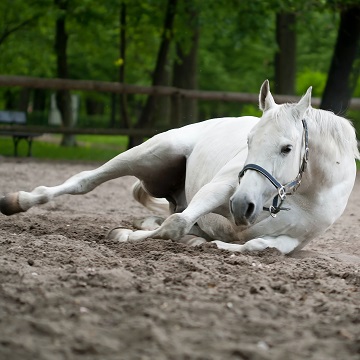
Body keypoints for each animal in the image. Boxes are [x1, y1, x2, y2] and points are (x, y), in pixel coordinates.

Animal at [1, 81, 358, 256]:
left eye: (287, 148)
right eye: (249, 140)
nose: (242, 206)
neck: (306, 193)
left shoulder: (296, 239)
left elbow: (260, 246)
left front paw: (214, 245)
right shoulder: (222, 189)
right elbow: (176, 224)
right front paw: (126, 236)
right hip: (149, 154)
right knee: (84, 181)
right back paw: (17, 201)